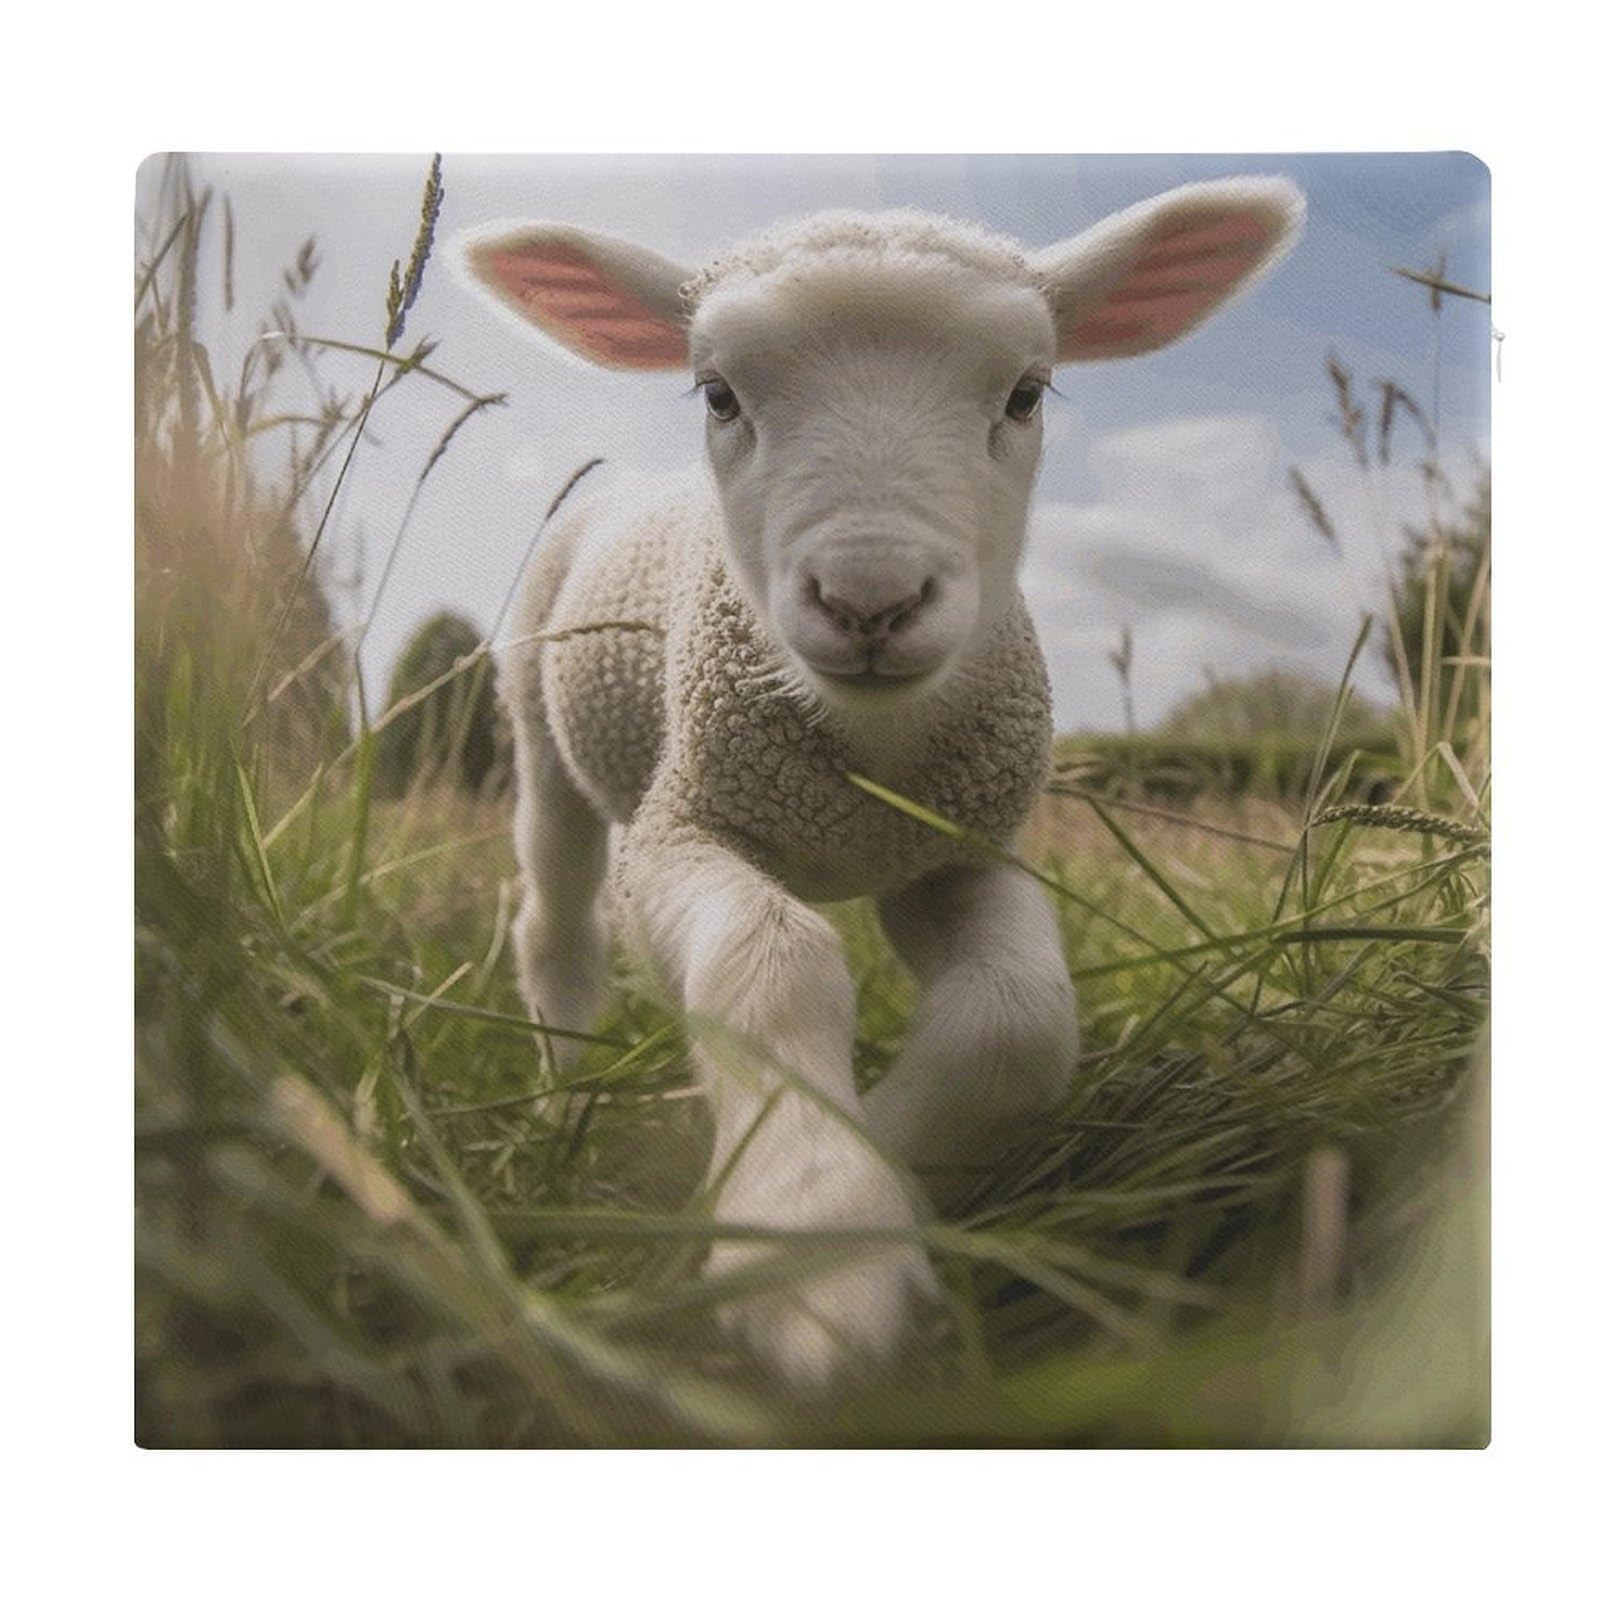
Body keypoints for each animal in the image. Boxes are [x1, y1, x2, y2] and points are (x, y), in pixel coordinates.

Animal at [456, 179, 1305, 1385]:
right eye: (719, 393)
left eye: (1026, 393)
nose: (870, 598)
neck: (864, 761)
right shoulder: (682, 826)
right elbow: (771, 961)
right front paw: (817, 1239)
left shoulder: (958, 850)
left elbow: (1017, 1023)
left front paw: (893, 1163)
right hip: (541, 728)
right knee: (559, 925)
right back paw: (559, 1100)